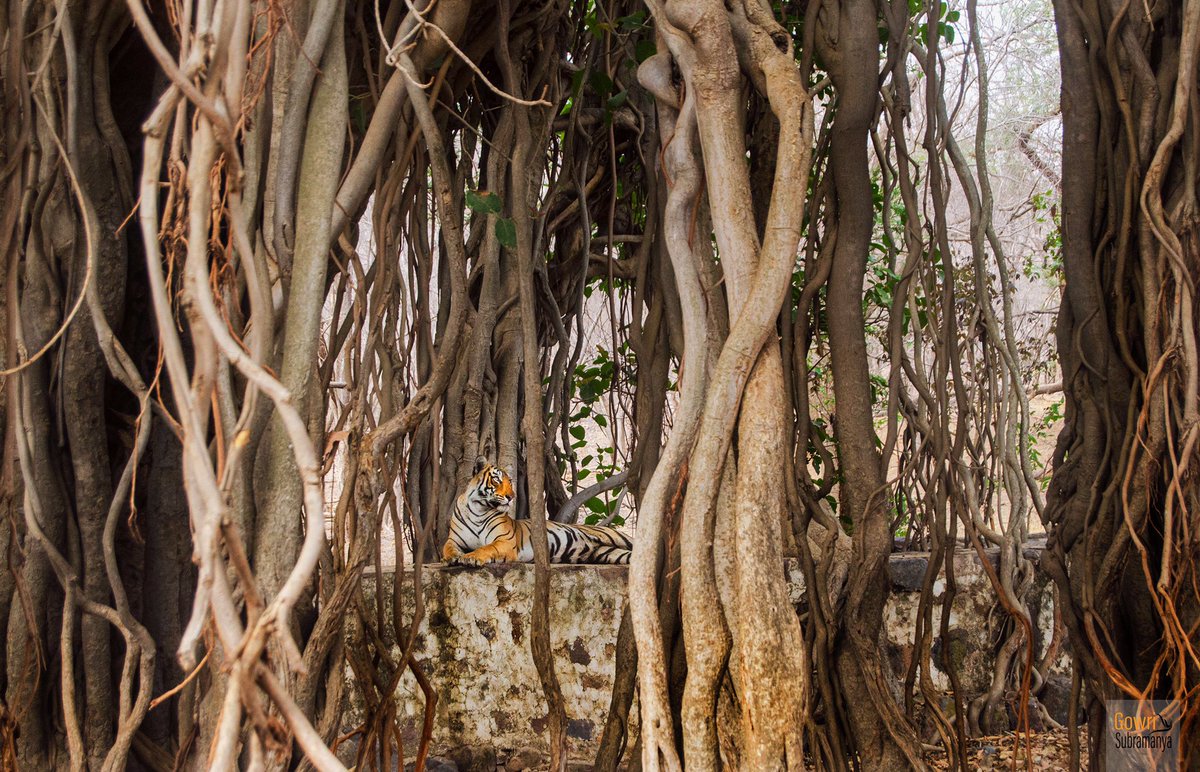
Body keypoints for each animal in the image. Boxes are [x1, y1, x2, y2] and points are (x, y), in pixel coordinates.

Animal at [442, 461, 633, 566]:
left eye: (510, 482)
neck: (479, 509)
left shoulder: (504, 541)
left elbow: (486, 547)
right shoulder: (454, 540)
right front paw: (452, 558)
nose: (512, 497)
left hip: (618, 538)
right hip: (609, 553)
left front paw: (470, 557)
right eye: (497, 480)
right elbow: (448, 549)